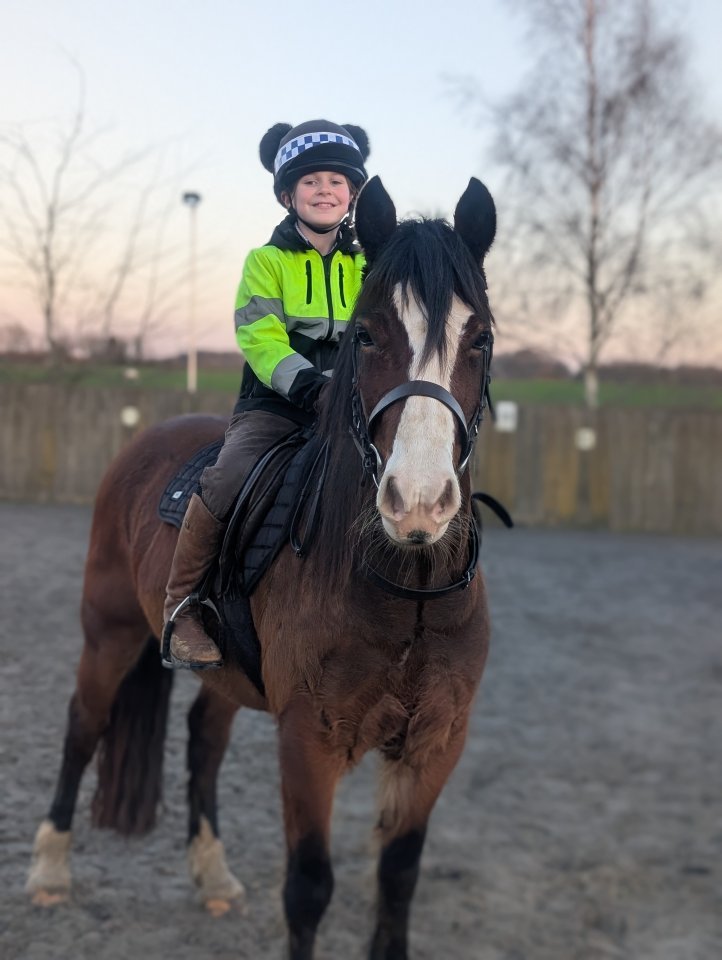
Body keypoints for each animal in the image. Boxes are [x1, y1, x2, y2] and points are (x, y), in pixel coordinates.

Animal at [27, 174, 498, 960]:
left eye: (481, 336)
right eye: (367, 335)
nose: (417, 500)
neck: (408, 592)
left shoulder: (438, 742)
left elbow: (398, 877)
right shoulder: (308, 740)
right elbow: (308, 887)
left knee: (203, 742)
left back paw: (212, 875)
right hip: (109, 633)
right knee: (82, 726)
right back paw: (49, 868)